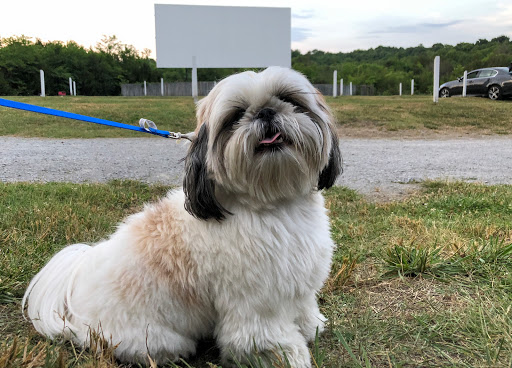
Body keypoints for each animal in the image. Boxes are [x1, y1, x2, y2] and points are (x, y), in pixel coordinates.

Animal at [23, 67, 340, 366]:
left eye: (289, 100)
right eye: (236, 116)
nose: (266, 111)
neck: (273, 202)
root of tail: (76, 305)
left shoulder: (300, 282)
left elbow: (304, 307)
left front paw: (311, 327)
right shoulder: (258, 303)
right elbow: (266, 337)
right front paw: (286, 357)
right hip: (153, 336)